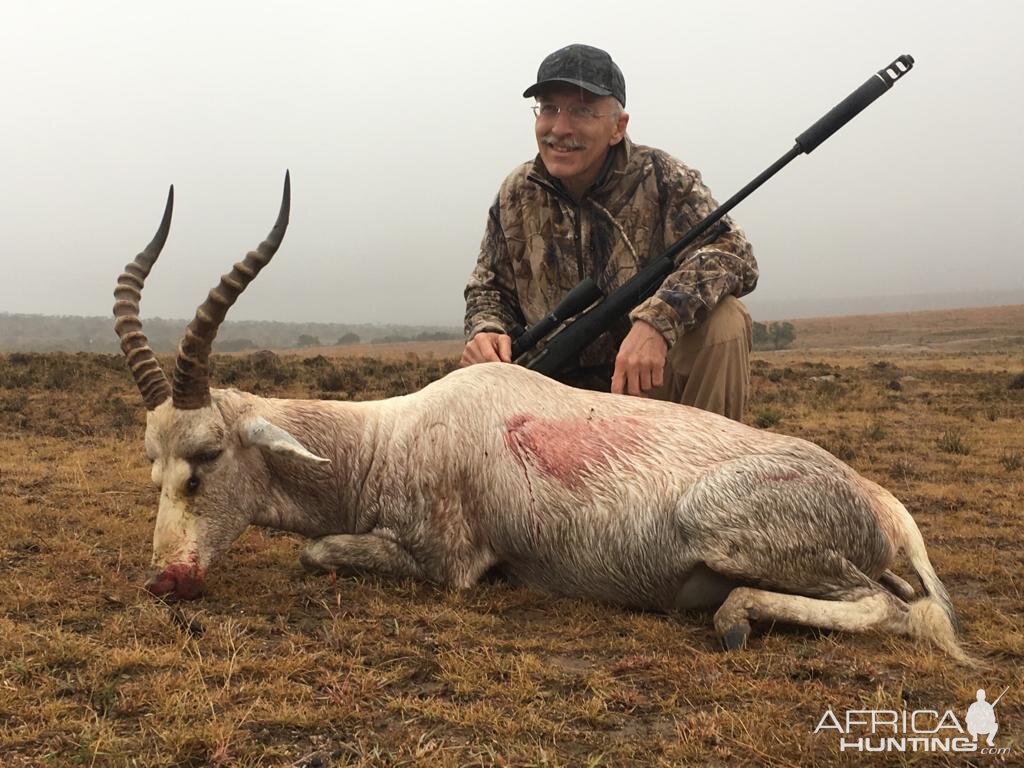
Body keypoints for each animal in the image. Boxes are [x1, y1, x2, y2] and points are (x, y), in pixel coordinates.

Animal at [116, 176, 962, 663]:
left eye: (207, 458)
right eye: (153, 465)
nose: (166, 579)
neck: (391, 436)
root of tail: (876, 501)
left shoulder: (449, 563)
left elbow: (316, 551)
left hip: (729, 529)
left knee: (898, 609)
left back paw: (732, 617)